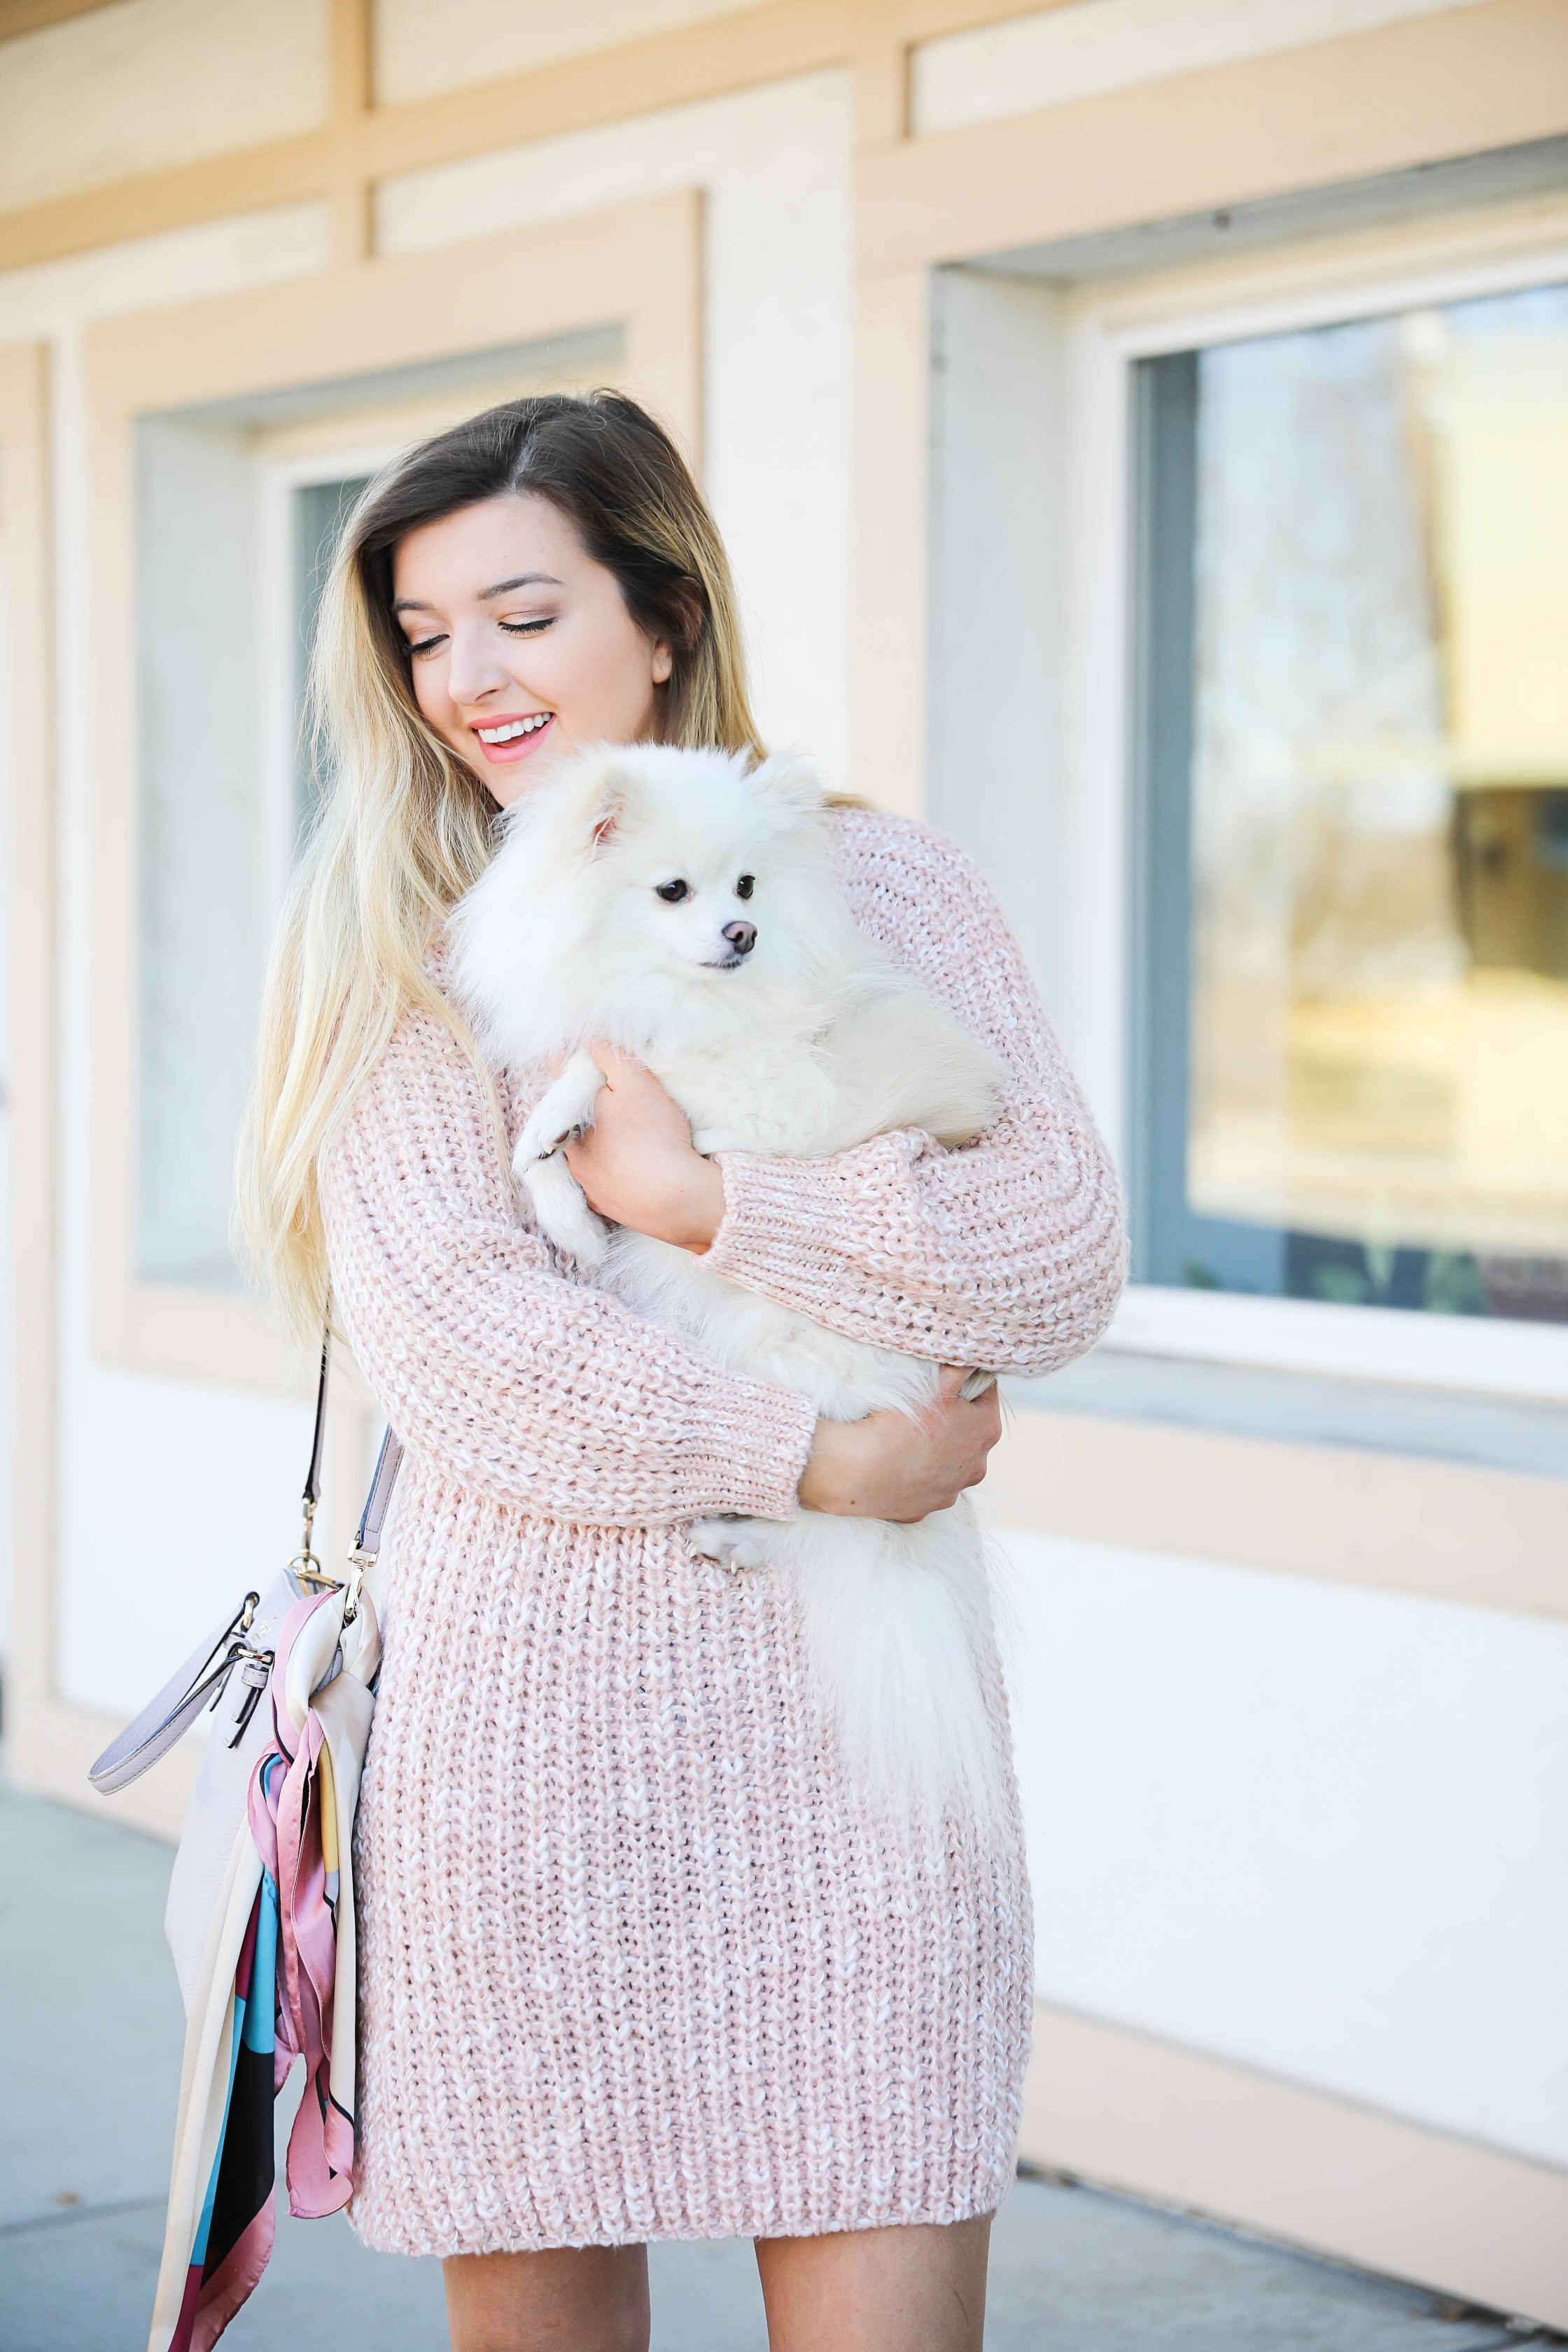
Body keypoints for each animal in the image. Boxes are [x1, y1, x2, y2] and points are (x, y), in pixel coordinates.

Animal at [451, 743, 1020, 1825]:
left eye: (748, 887)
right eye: (674, 890)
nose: (741, 933)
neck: (685, 998)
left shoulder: (754, 1089)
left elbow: (619, 1076)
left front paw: (563, 1132)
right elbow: (560, 1132)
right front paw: (568, 1212)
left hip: (787, 1353)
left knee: (820, 1487)